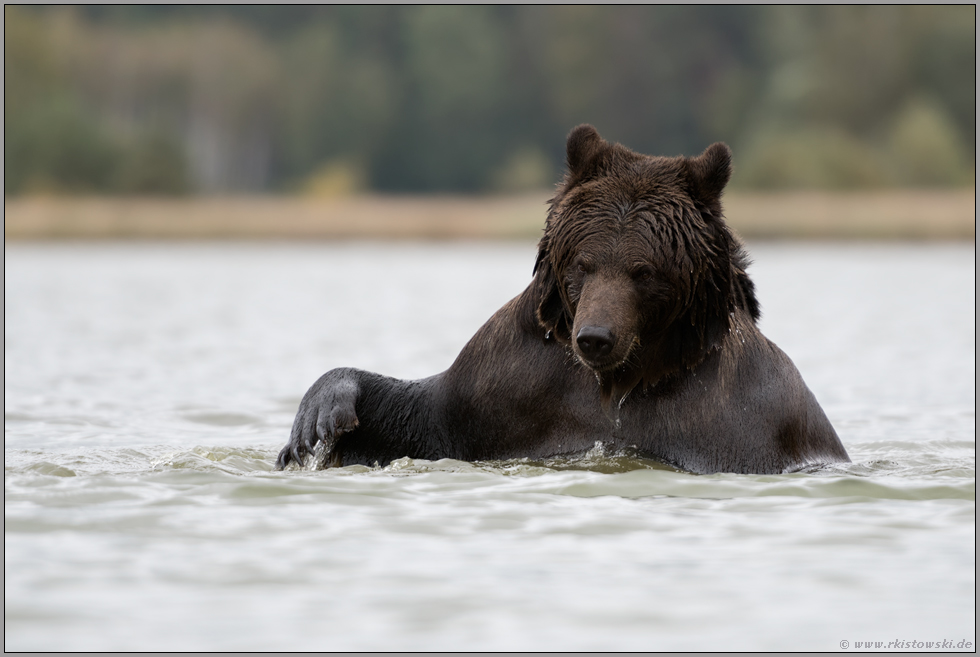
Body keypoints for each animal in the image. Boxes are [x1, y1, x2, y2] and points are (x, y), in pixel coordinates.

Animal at [274, 124, 848, 472]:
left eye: (644, 271)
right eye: (583, 264)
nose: (595, 337)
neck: (622, 381)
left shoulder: (745, 418)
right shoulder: (508, 384)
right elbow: (426, 421)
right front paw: (320, 417)